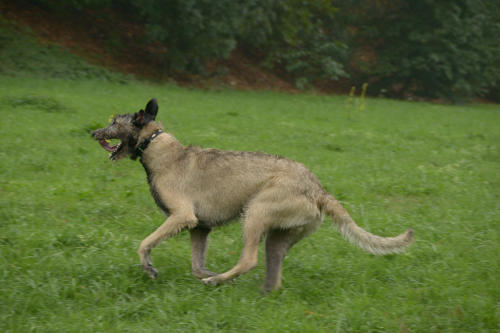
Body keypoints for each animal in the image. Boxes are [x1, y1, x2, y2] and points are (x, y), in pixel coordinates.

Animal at [91, 97, 414, 290]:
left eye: (114, 122)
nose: (93, 133)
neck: (158, 147)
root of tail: (318, 189)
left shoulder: (182, 216)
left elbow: (145, 243)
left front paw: (149, 267)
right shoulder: (200, 228)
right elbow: (196, 265)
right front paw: (205, 272)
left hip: (256, 213)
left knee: (249, 260)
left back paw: (219, 281)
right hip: (279, 237)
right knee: (273, 273)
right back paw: (254, 292)